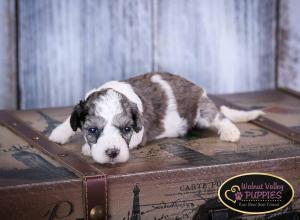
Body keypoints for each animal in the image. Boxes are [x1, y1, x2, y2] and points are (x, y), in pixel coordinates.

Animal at [49, 73, 262, 164]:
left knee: (219, 116)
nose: (112, 153)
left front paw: (86, 149)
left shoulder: (140, 133)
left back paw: (230, 132)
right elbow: (70, 120)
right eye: (92, 130)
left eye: (126, 129)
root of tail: (200, 90)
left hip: (202, 111)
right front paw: (59, 133)